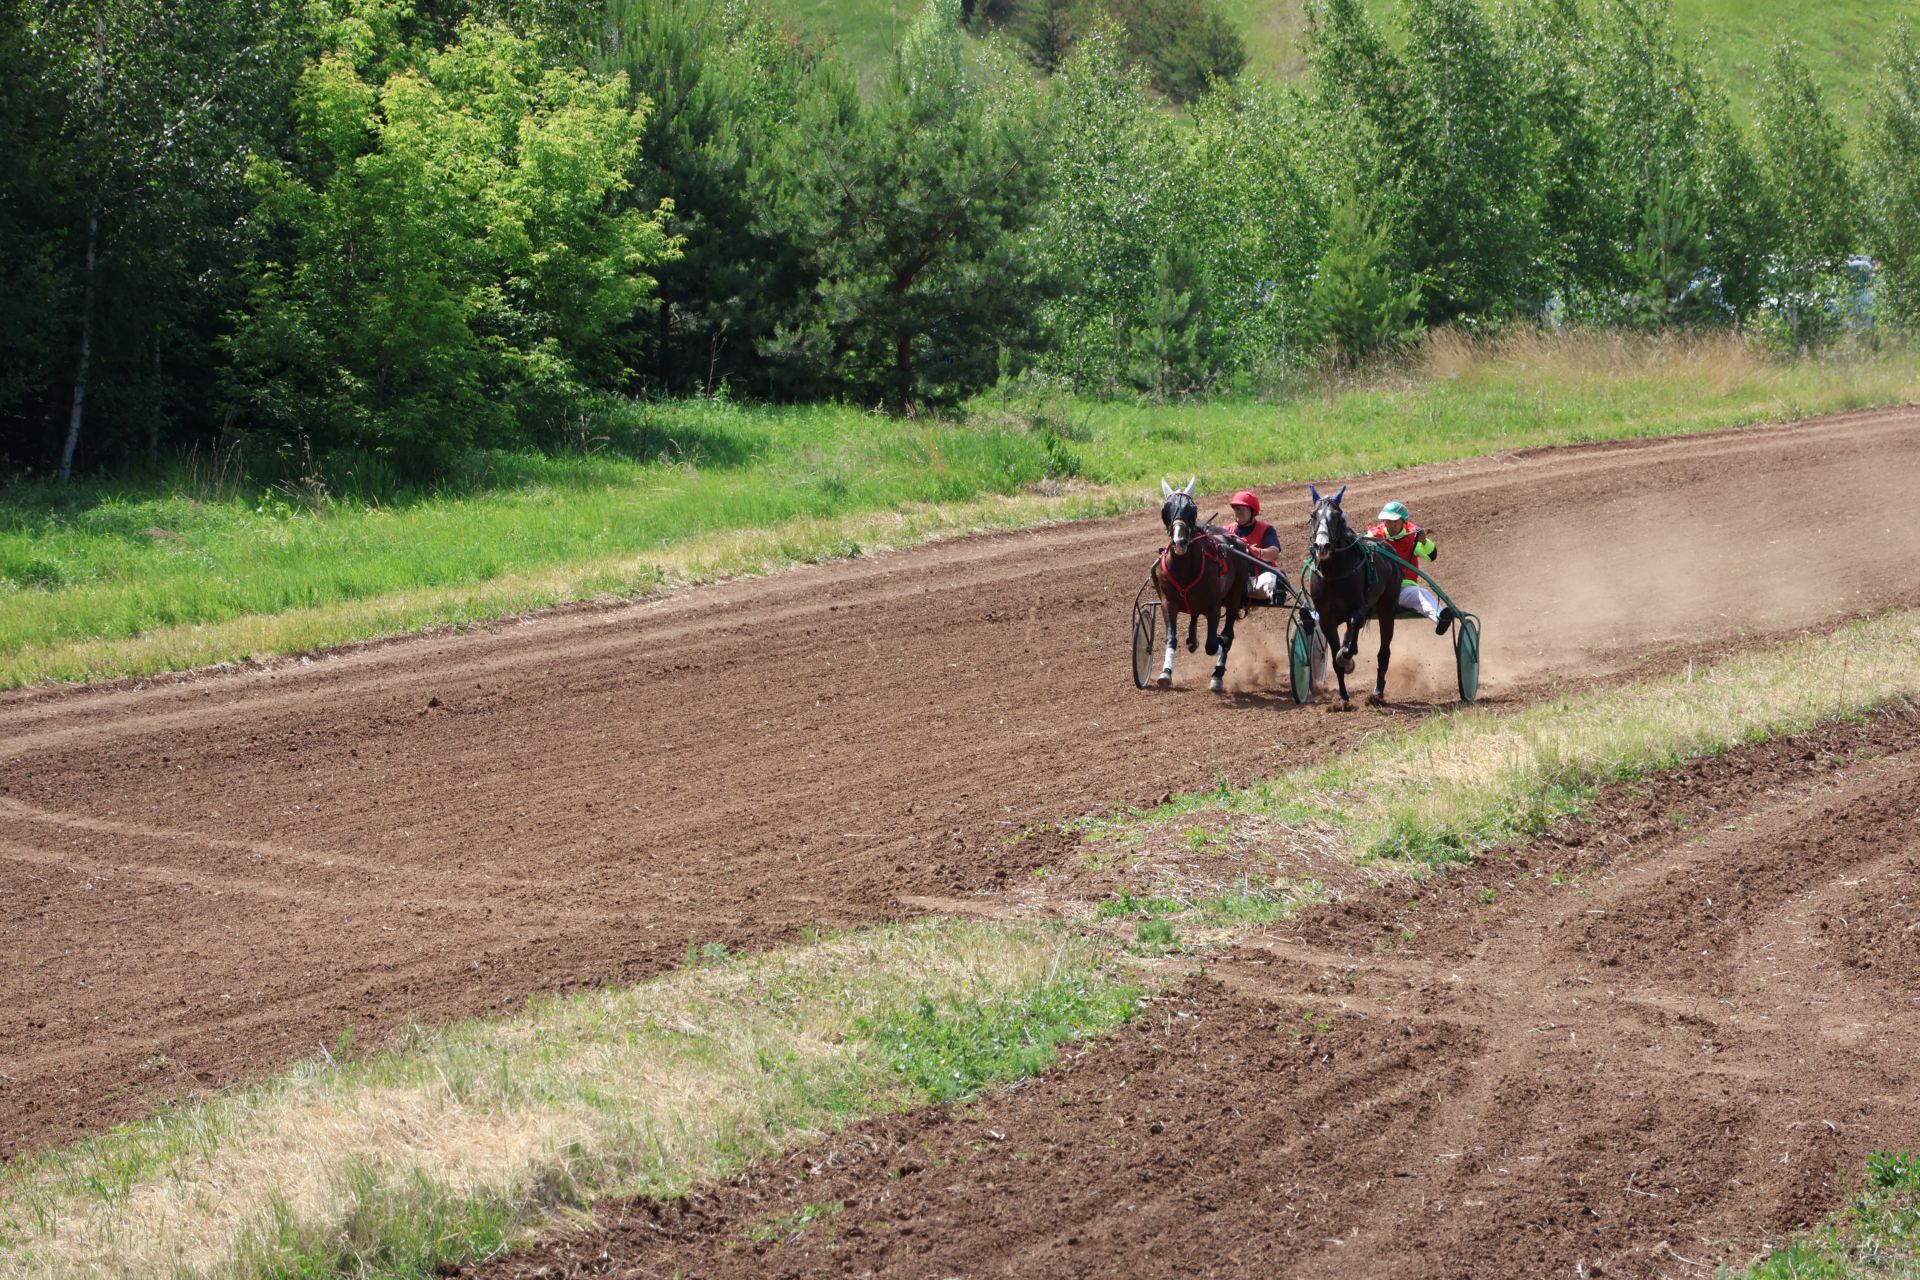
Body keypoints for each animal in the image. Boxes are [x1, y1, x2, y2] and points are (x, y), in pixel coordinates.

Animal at [1144, 477, 1251, 694]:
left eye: (1192, 510)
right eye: (1165, 509)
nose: (1179, 542)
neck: (1185, 567)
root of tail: (1237, 540)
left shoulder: (1214, 606)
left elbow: (1213, 645)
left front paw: (1217, 667)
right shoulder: (1168, 603)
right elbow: (1171, 638)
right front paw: (1165, 673)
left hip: (1234, 598)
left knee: (1228, 635)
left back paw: (1217, 674)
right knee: (1195, 619)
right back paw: (1192, 640)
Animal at [1305, 485, 1397, 710]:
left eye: (1336, 515)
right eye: (1313, 515)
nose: (1322, 546)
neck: (1334, 574)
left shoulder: (1360, 609)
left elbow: (1350, 642)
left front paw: (1347, 659)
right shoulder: (1327, 619)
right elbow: (1335, 659)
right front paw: (1343, 698)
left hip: (1387, 608)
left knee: (1384, 652)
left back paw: (1377, 693)